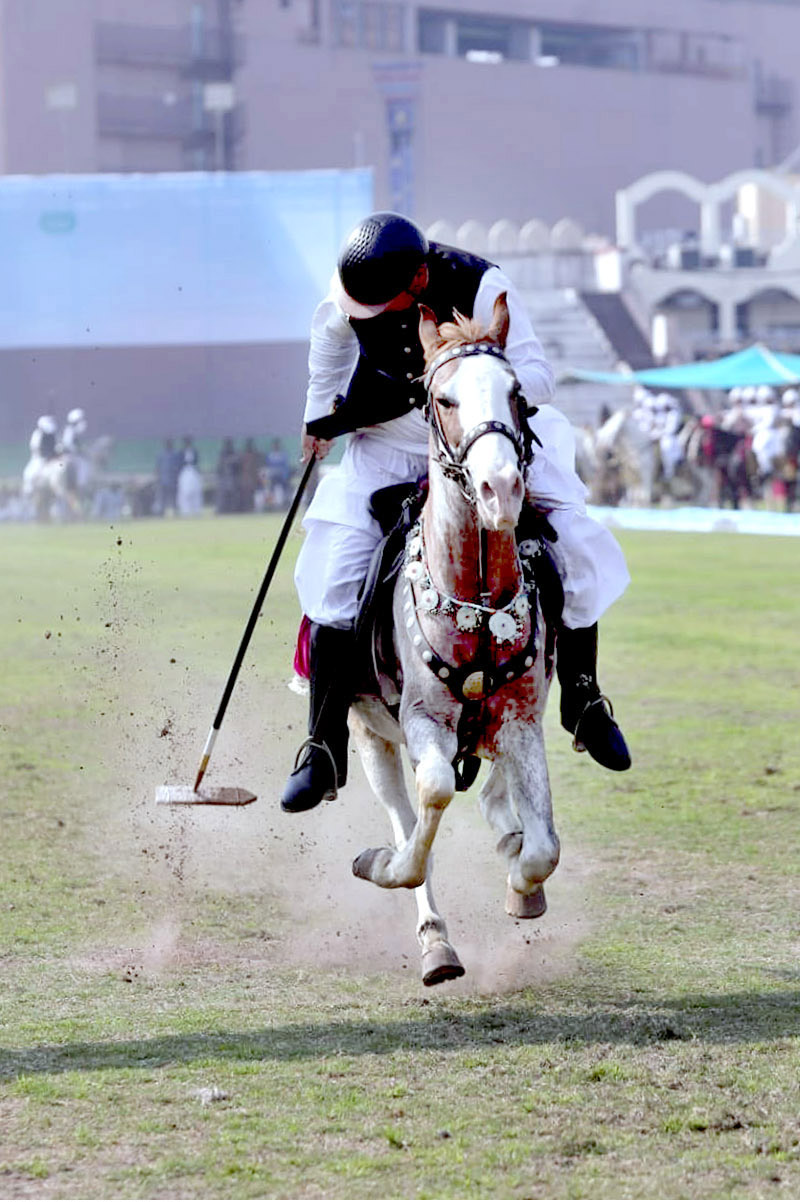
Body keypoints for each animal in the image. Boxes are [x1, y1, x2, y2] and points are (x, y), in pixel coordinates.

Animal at [345, 290, 557, 985]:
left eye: (518, 394)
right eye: (443, 399)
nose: (501, 490)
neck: (479, 605)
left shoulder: (521, 721)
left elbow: (544, 846)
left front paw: (522, 885)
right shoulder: (420, 720)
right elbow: (430, 804)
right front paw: (383, 866)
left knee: (495, 794)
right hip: (368, 736)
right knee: (410, 812)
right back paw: (435, 941)